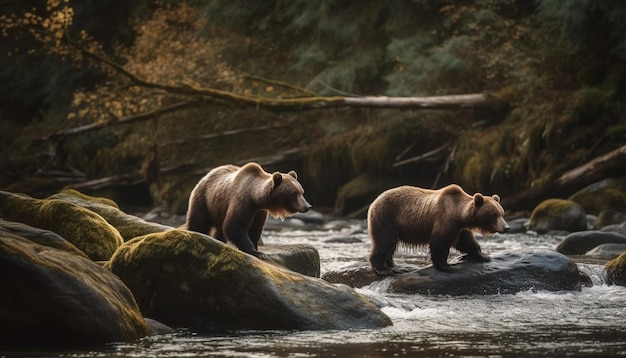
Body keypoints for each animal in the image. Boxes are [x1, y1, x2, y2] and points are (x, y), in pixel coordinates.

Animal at [366, 185, 508, 274]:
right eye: (494, 215)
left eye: (502, 213)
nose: (506, 227)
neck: (459, 214)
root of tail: (374, 201)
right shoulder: (446, 220)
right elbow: (439, 243)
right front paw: (446, 266)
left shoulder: (460, 228)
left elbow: (466, 242)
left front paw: (484, 256)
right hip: (386, 217)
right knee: (385, 241)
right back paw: (382, 268)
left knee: (390, 244)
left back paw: (394, 265)